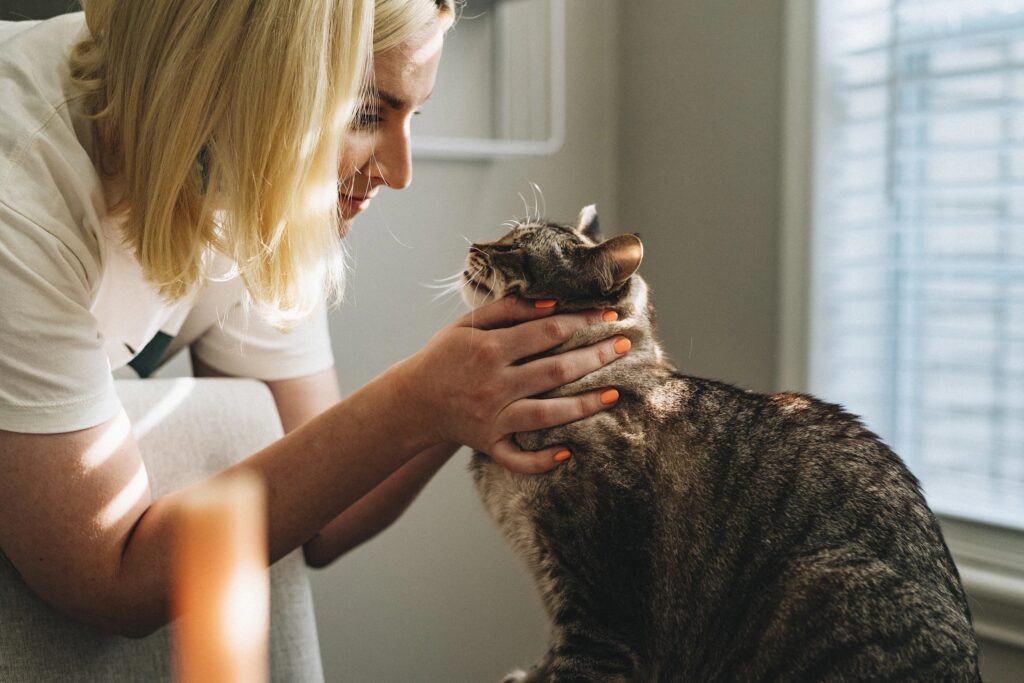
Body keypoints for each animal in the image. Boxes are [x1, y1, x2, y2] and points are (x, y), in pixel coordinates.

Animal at [466, 208, 983, 683]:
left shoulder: (600, 605)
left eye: (514, 248)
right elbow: (551, 657)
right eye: (505, 236)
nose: (474, 244)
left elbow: (576, 664)